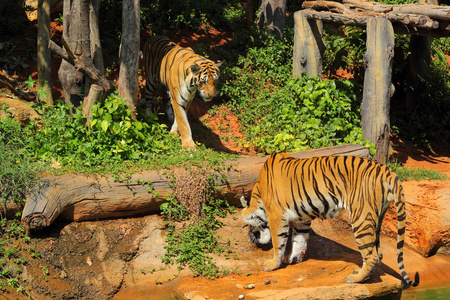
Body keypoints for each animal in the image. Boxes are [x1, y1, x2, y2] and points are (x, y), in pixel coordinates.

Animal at [241, 152, 420, 286]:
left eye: (249, 227)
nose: (250, 239)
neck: (259, 194)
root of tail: (385, 169)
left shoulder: (277, 215)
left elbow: (278, 242)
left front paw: (273, 264)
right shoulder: (302, 217)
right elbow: (299, 239)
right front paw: (294, 258)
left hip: (361, 217)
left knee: (372, 255)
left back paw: (355, 279)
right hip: (376, 218)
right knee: (378, 253)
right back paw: (363, 275)